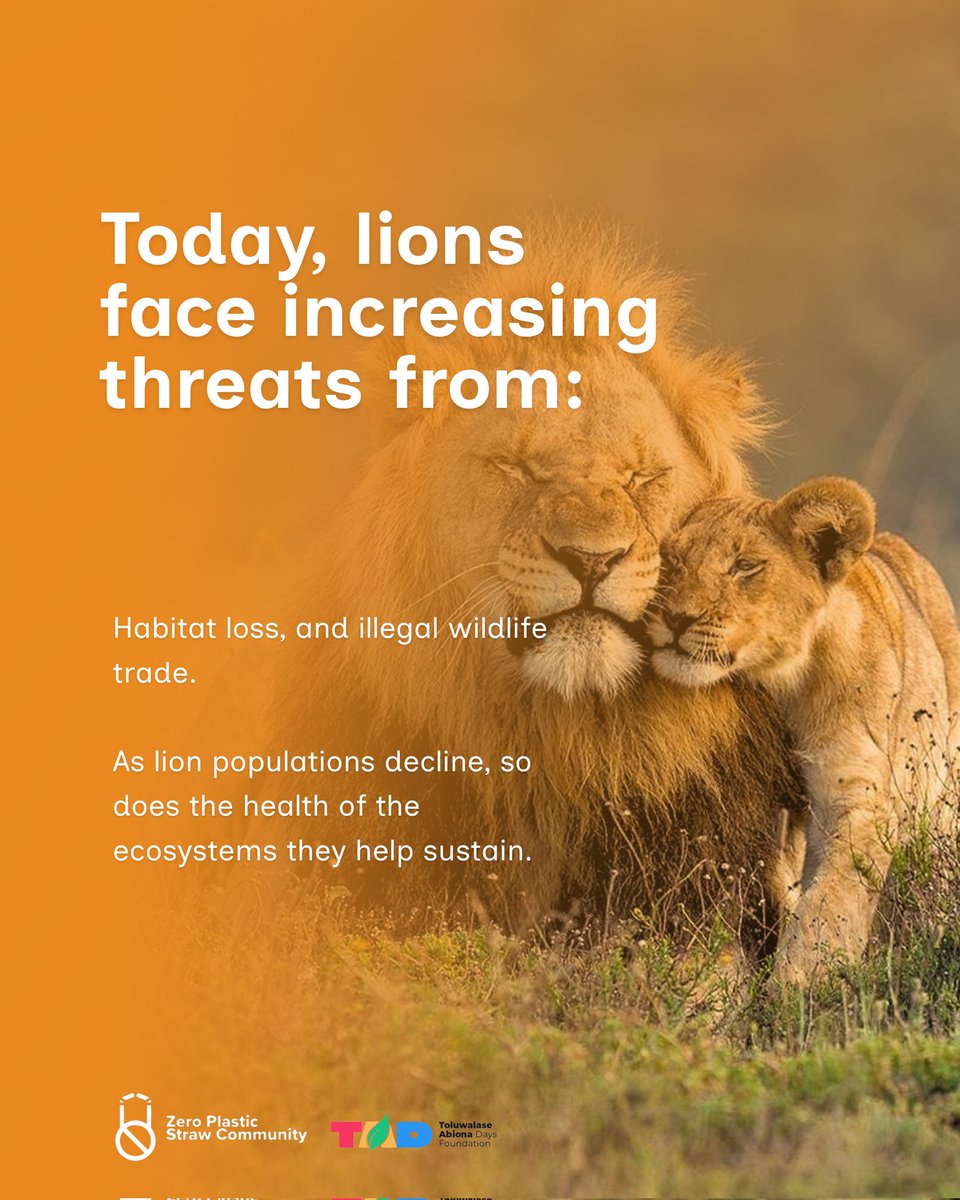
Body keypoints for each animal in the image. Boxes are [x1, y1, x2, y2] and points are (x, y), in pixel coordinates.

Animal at [649, 477, 960, 981]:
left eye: (745, 566)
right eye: (672, 560)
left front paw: (800, 985)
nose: (676, 617)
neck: (781, 685)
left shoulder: (853, 793)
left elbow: (831, 901)